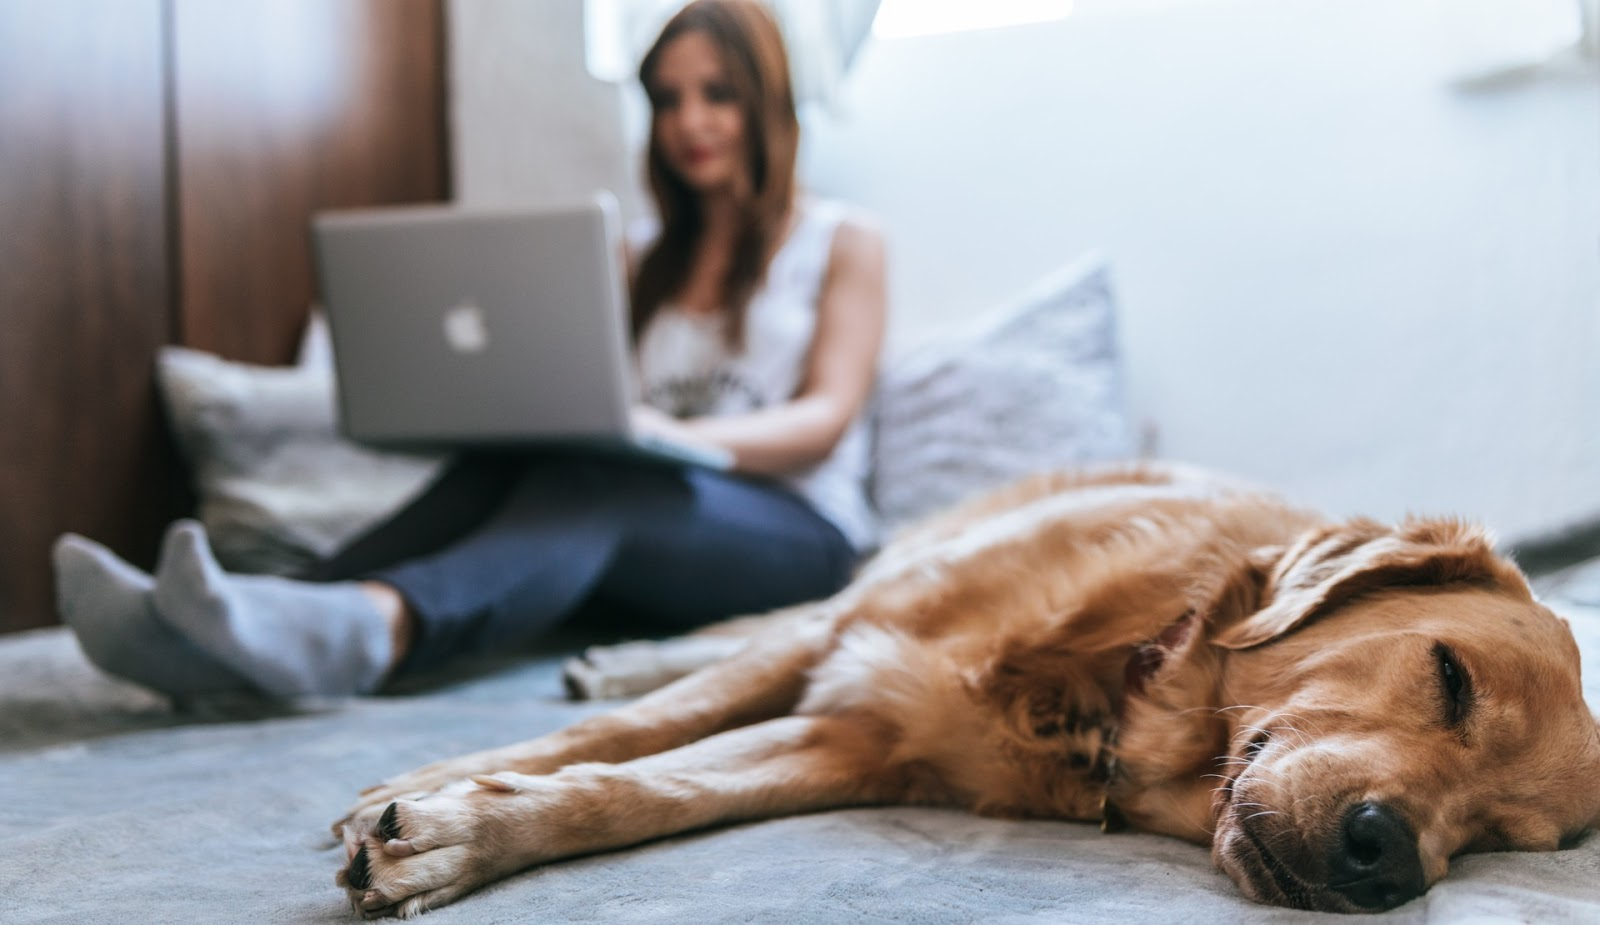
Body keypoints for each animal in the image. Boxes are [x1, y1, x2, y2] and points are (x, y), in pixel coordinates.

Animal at [331, 460, 1593, 915]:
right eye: (1447, 676)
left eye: (1503, 837)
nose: (1387, 858)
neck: (1115, 678)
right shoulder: (849, 640)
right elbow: (649, 726)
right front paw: (438, 784)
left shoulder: (850, 742)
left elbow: (646, 789)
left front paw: (456, 833)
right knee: (737, 633)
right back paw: (614, 654)